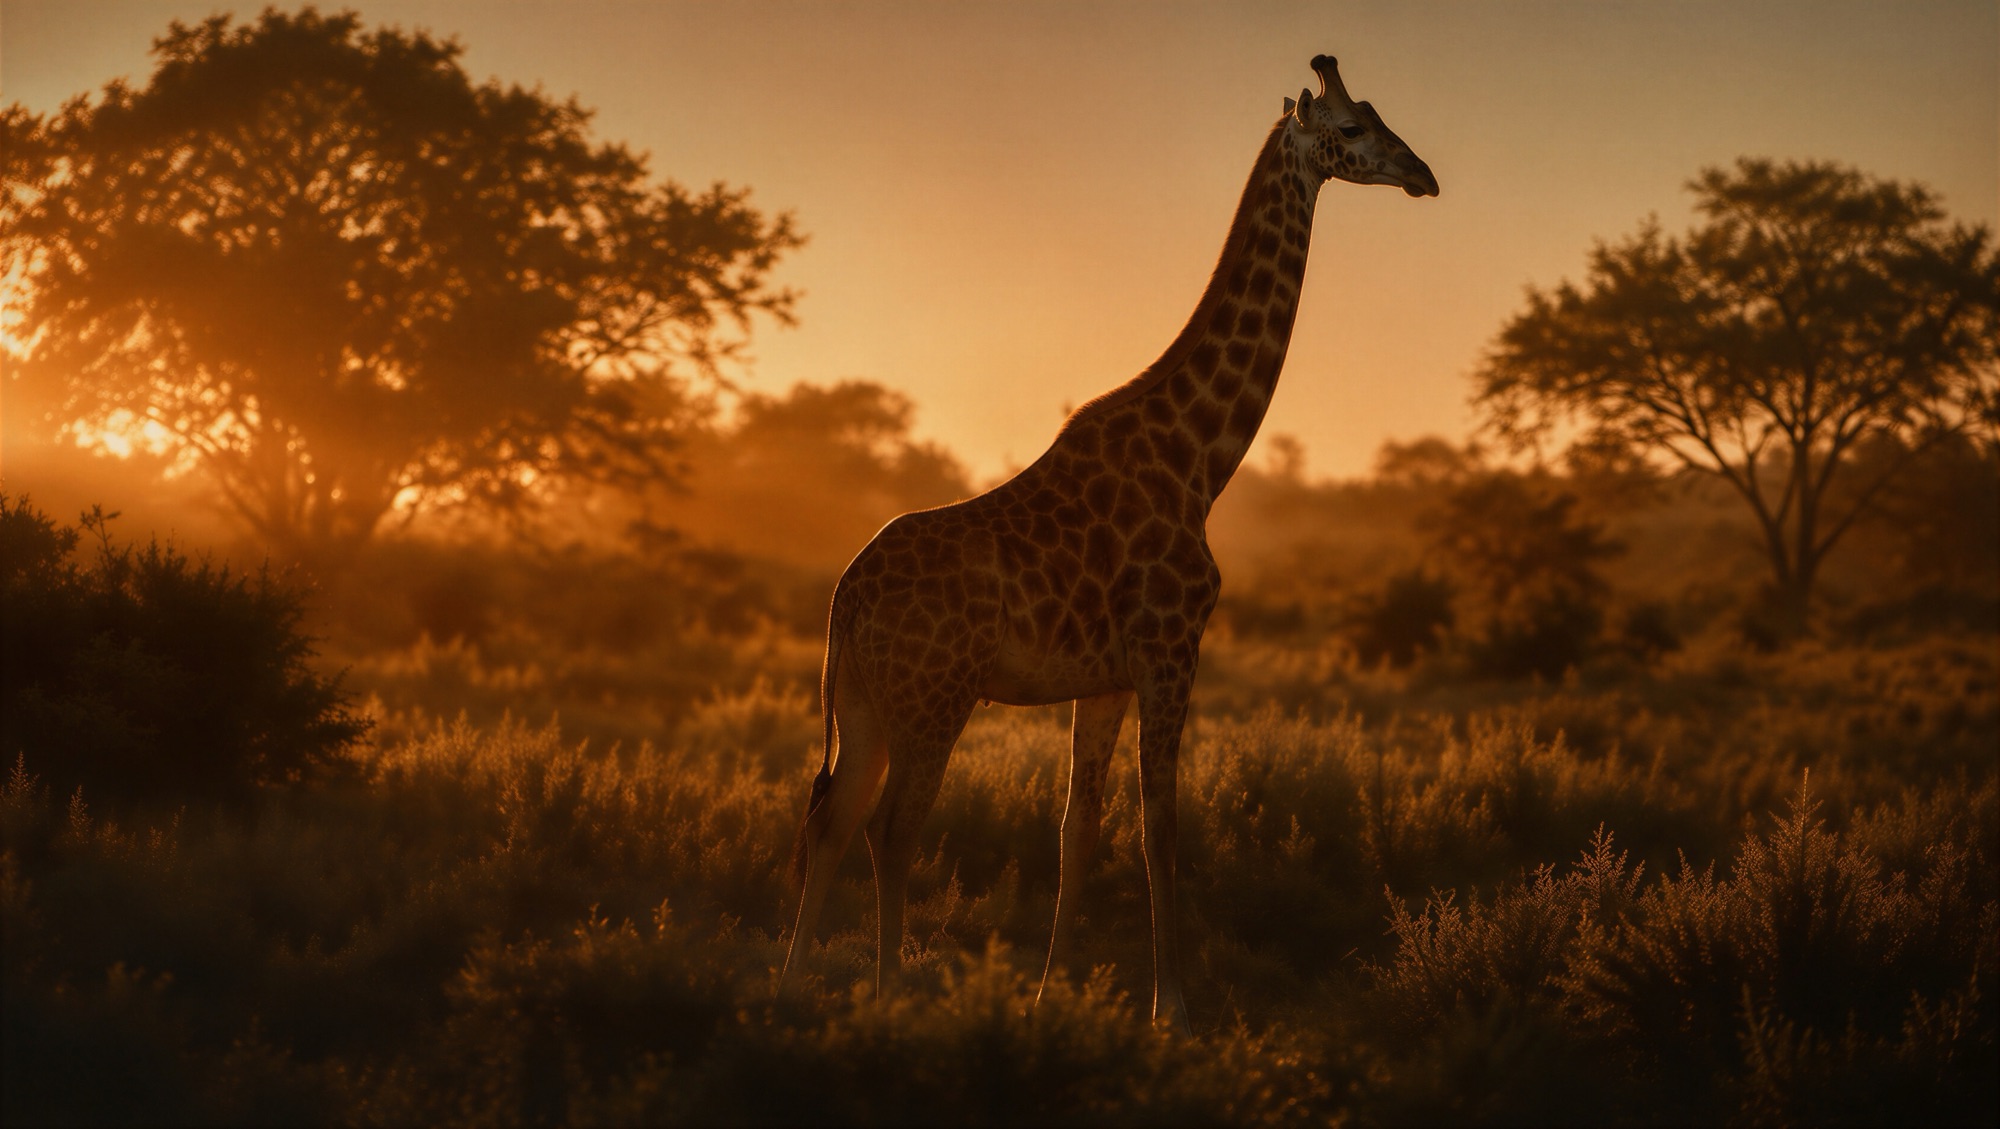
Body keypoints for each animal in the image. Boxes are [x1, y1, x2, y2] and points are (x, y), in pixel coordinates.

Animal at [780, 54, 1437, 1031]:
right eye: (1353, 128)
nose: (1422, 174)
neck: (1202, 455)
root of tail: (843, 597)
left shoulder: (1105, 677)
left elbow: (1076, 827)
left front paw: (1051, 992)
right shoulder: (1172, 649)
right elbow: (1160, 823)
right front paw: (1175, 1006)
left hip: (861, 702)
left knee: (830, 815)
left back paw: (788, 990)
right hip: (935, 699)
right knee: (892, 828)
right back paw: (891, 993)